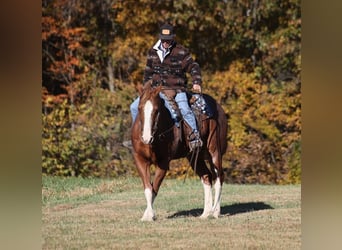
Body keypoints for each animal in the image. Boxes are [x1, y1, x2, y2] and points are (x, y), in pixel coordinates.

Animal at [131, 80, 227, 221]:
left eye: (157, 110)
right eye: (139, 108)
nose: (146, 138)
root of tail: (218, 108)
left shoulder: (164, 163)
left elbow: (154, 188)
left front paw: (150, 215)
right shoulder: (140, 160)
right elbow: (148, 189)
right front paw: (146, 216)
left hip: (214, 151)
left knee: (219, 177)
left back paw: (215, 212)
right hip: (194, 156)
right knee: (207, 176)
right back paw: (205, 213)